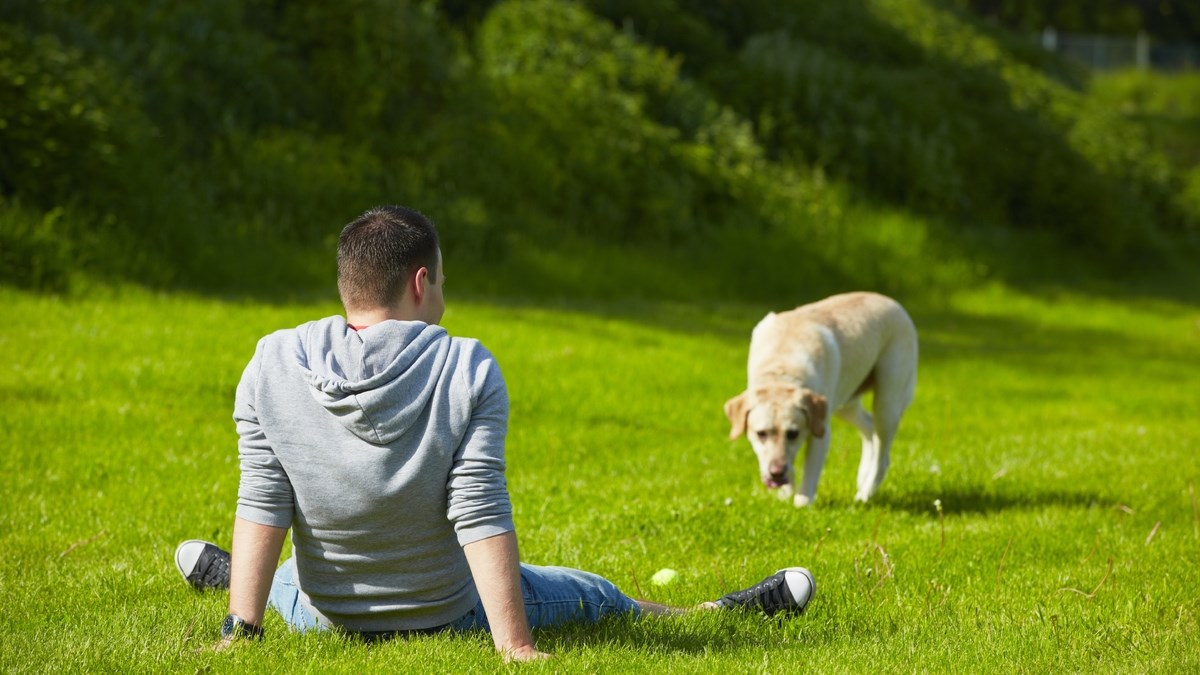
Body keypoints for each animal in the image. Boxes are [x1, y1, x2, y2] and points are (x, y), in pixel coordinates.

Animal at [720, 290, 916, 504]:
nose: (776, 473)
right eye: (761, 433)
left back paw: (865, 494)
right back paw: (863, 473)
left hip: (886, 402)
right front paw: (786, 494)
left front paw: (802, 504)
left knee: (882, 454)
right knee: (869, 426)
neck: (781, 368)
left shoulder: (821, 431)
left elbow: (810, 474)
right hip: (845, 402)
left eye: (793, 433)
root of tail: (893, 302)